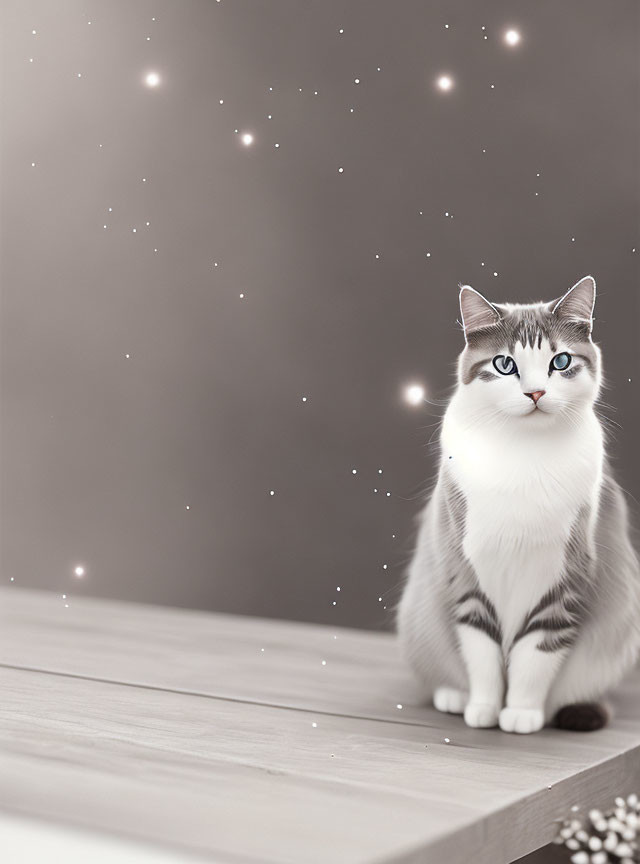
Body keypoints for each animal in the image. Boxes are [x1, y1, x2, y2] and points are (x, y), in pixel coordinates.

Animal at [398, 276, 636, 736]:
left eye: (560, 361)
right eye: (505, 365)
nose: (536, 392)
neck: (523, 456)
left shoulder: (564, 578)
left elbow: (535, 656)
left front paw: (522, 713)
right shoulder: (467, 573)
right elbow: (482, 653)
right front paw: (484, 708)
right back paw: (454, 697)